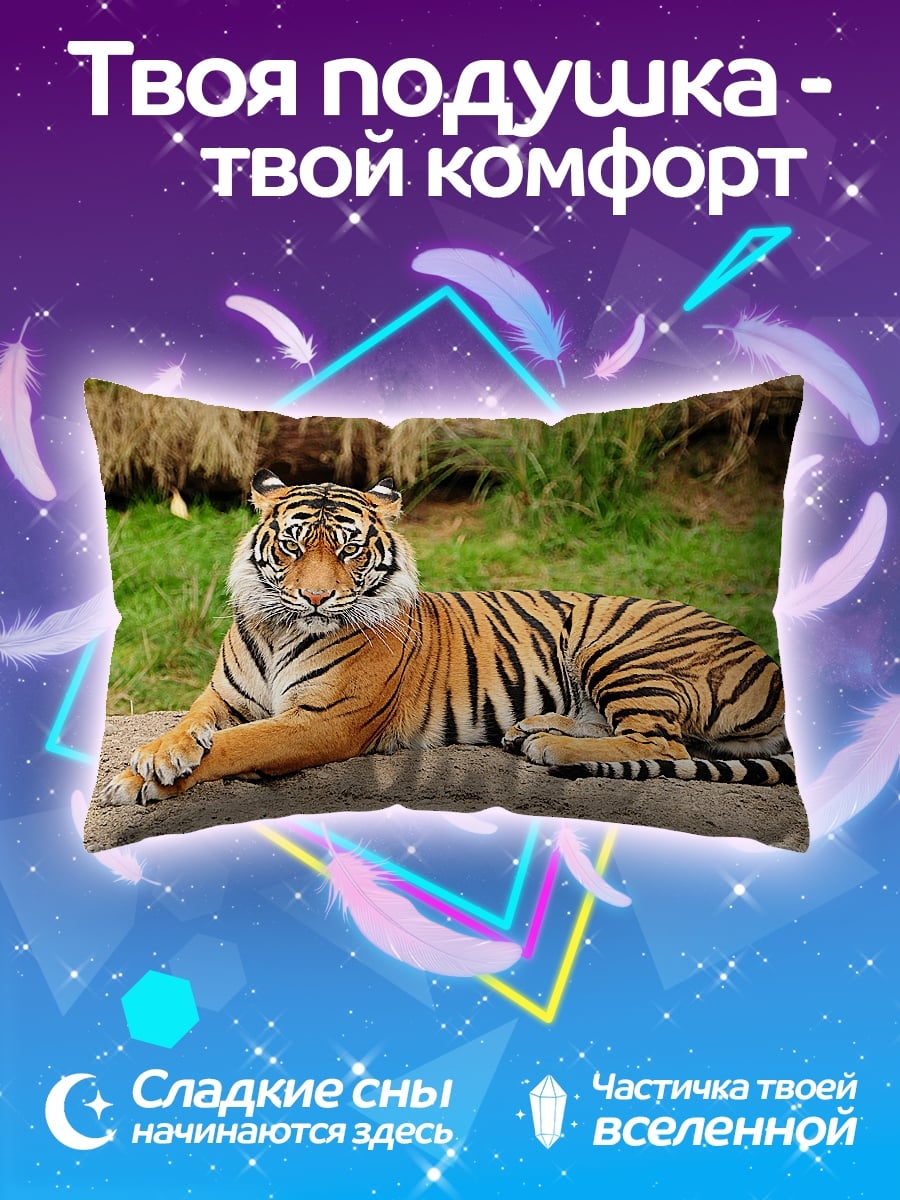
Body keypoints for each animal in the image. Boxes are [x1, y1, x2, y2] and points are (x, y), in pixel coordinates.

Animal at [100, 470, 794, 807]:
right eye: (294, 546)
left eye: (349, 550)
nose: (317, 598)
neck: (280, 628)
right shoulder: (223, 695)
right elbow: (191, 725)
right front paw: (157, 756)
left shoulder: (324, 721)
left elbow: (237, 744)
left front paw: (143, 780)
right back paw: (533, 729)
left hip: (619, 649)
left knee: (663, 743)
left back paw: (550, 748)